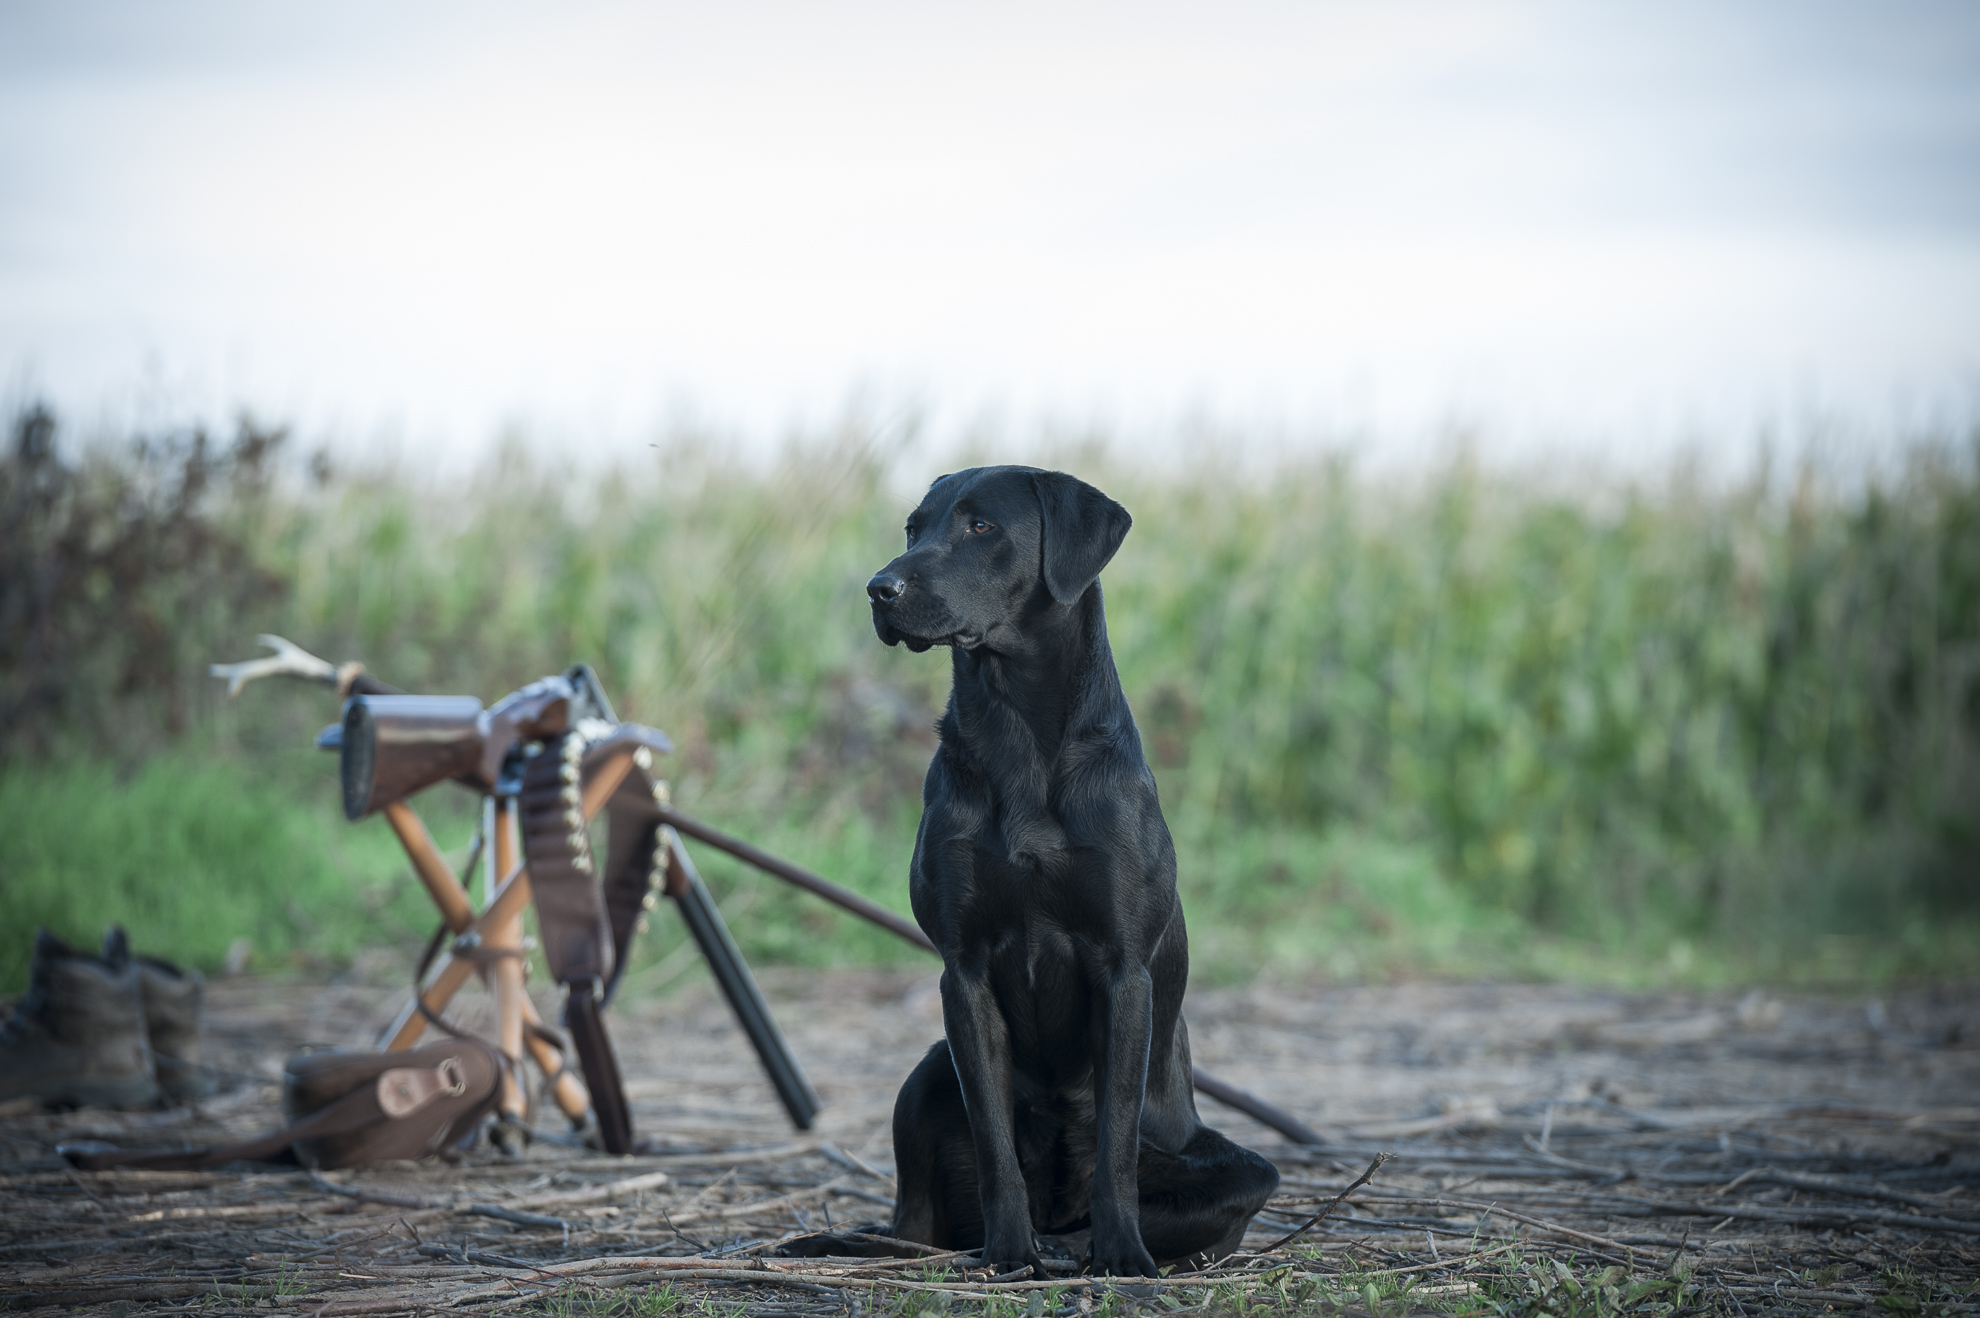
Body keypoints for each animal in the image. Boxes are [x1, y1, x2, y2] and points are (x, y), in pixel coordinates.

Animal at [792, 461, 1275, 1274]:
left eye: (981, 525)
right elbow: (994, 1145)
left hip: (1244, 1170)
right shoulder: (964, 972)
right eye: (912, 527)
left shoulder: (1123, 972)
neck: (1016, 729)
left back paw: (1083, 1242)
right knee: (912, 1225)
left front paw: (1122, 1257)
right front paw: (1009, 1253)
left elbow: (1115, 1146)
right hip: (926, 1075)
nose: (879, 588)